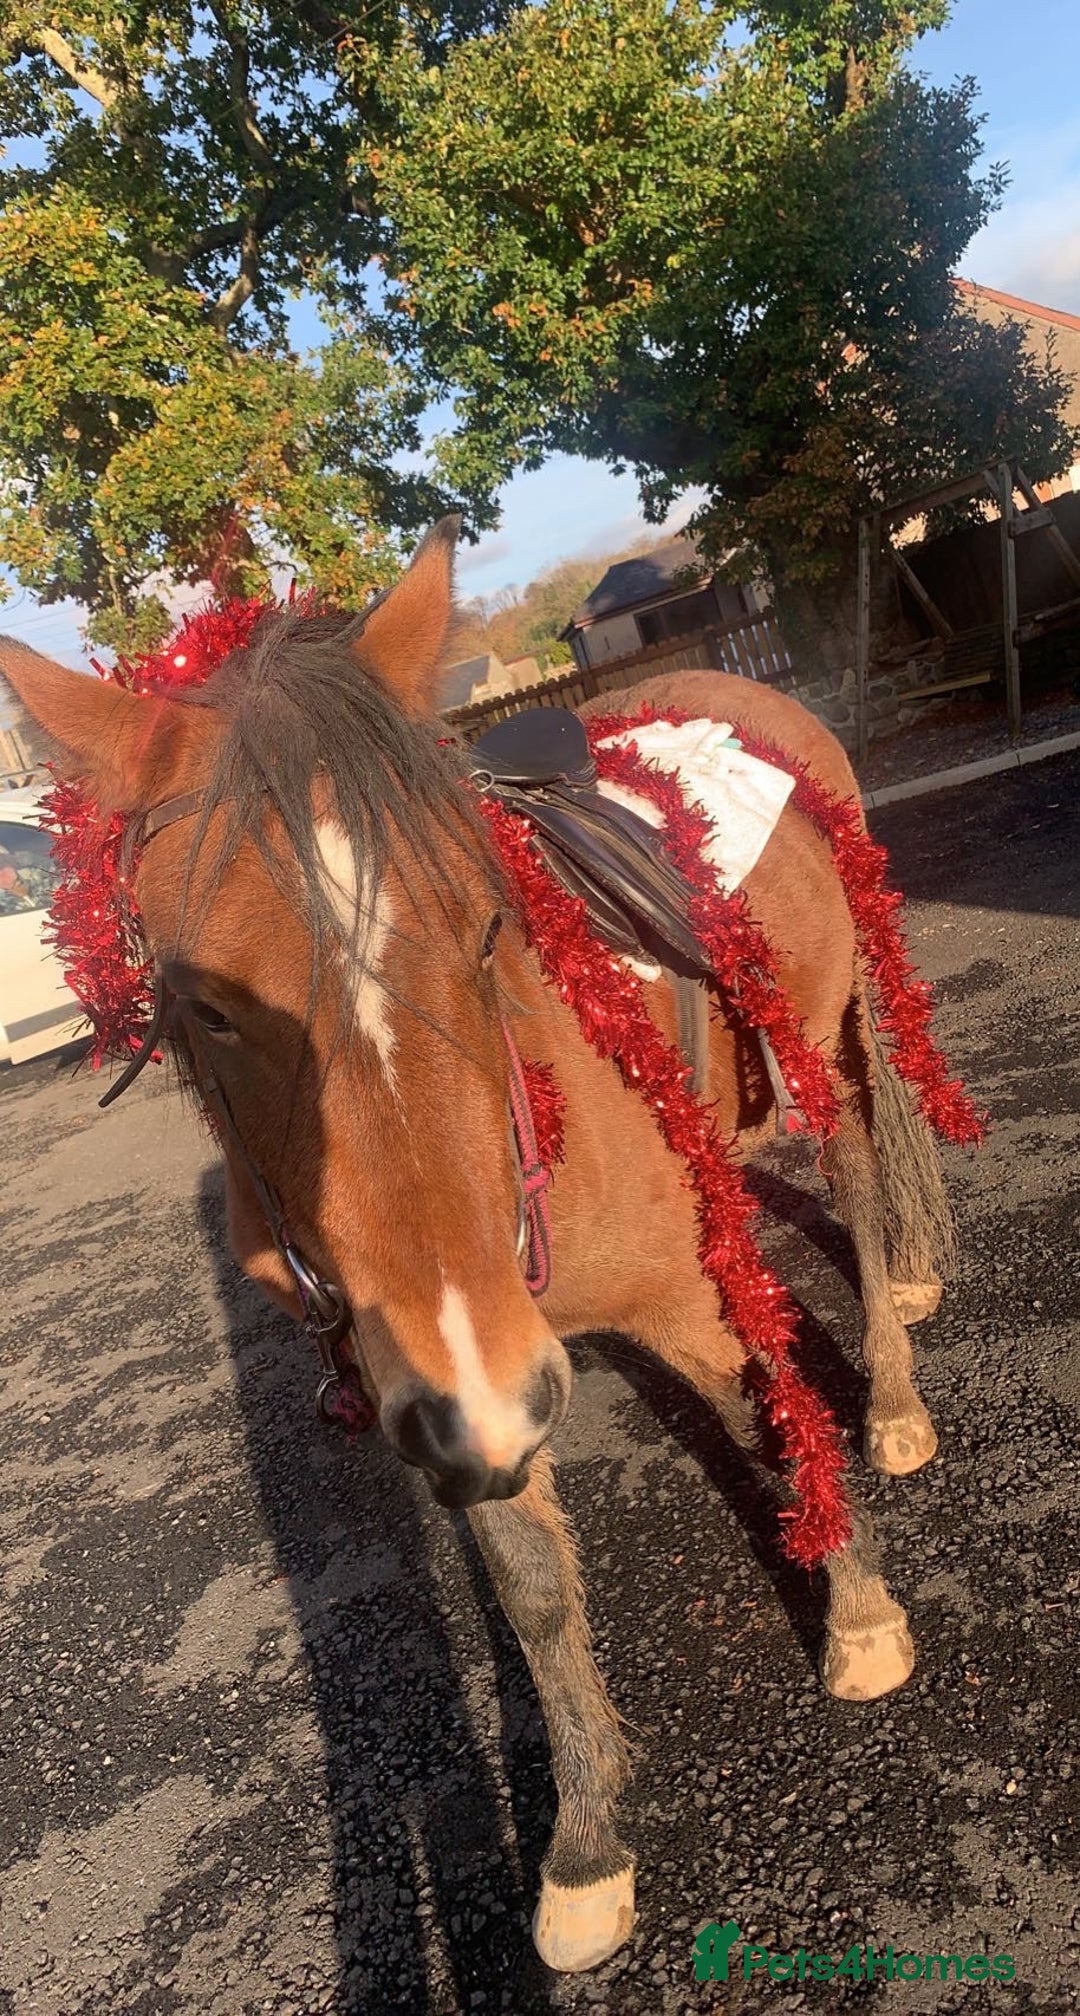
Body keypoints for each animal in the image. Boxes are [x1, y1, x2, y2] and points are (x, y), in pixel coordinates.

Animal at [1, 520, 955, 1974]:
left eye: (488, 927)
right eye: (205, 1006)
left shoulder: (658, 1308)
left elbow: (772, 1405)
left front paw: (855, 1612)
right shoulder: (458, 1388)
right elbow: (532, 1588)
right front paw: (588, 1843)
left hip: (818, 1025)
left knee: (852, 1161)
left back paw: (892, 1383)